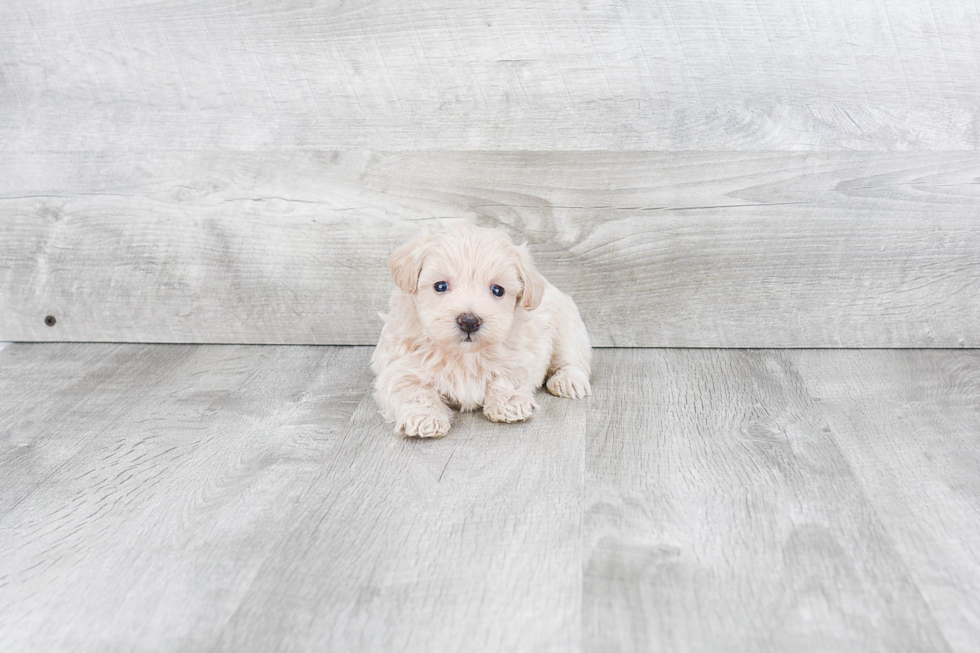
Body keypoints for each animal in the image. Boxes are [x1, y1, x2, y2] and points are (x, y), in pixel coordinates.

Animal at [374, 224, 588, 438]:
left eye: (498, 290)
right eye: (440, 286)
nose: (469, 321)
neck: (464, 354)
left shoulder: (518, 356)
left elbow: (504, 376)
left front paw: (509, 402)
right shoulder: (401, 366)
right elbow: (413, 390)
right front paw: (424, 417)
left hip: (566, 326)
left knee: (571, 359)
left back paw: (568, 381)